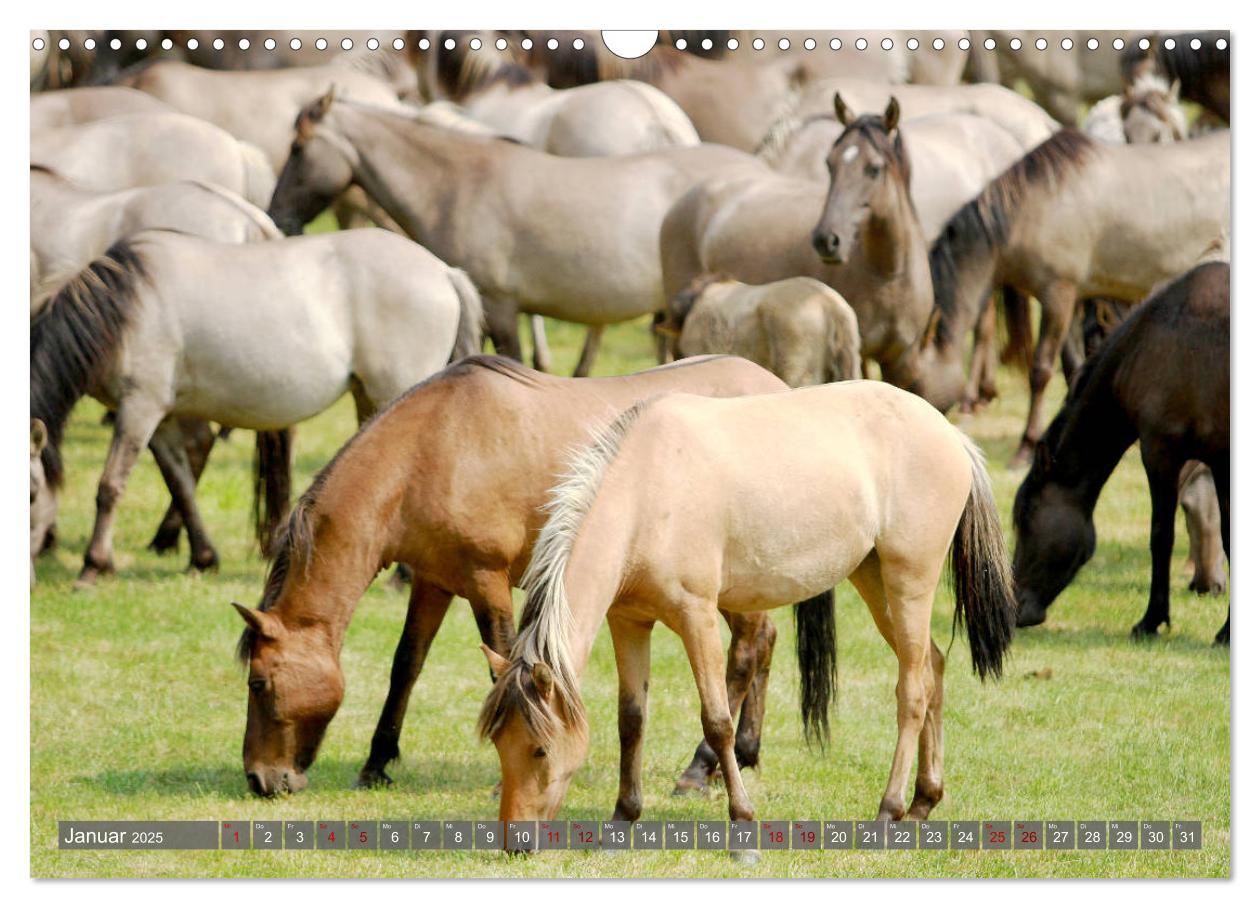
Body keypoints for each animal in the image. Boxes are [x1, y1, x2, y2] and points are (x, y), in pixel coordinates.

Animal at [30, 226, 481, 581]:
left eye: (31, 494)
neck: (128, 305)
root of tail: (443, 271)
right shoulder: (162, 419)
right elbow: (181, 483)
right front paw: (203, 558)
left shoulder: (140, 407)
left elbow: (110, 486)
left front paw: (93, 566)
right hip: (367, 397)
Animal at [231, 355, 796, 795]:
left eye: (259, 683)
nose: (261, 779)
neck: (430, 448)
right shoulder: (434, 582)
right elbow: (405, 666)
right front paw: (376, 763)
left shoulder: (487, 579)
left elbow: (501, 664)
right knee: (764, 641)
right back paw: (744, 754)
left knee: (745, 652)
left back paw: (700, 767)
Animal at [476, 377, 1018, 831]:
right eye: (499, 744)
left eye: (540, 750)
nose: (514, 839)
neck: (647, 489)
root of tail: (951, 435)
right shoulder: (629, 622)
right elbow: (631, 719)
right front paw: (623, 816)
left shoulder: (696, 617)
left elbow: (717, 721)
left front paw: (741, 816)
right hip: (875, 580)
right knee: (933, 667)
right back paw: (925, 801)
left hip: (910, 580)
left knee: (913, 691)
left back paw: (889, 809)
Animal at [1013, 261, 1229, 644]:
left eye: (1024, 518)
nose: (1014, 608)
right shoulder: (1219, 460)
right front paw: (1227, 632)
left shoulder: (1160, 452)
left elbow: (1161, 536)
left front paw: (1151, 620)